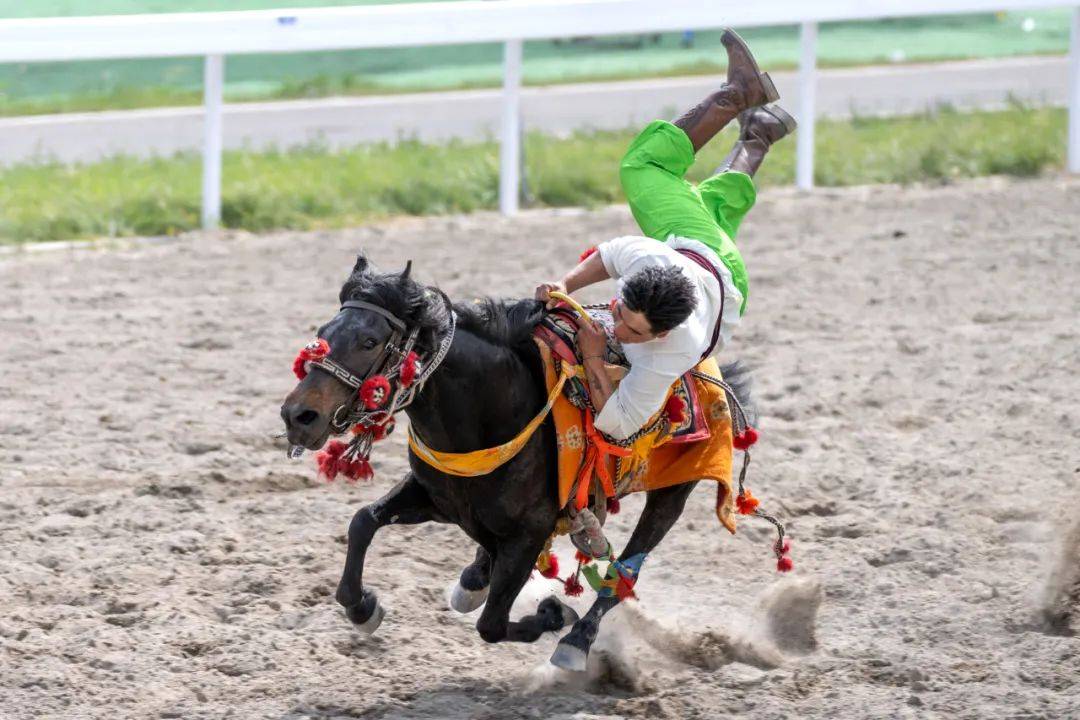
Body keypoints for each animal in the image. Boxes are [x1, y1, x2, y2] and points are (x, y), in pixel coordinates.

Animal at [278, 254, 751, 669]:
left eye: (370, 341)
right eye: (323, 330)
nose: (298, 415)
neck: (493, 413)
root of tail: (714, 376)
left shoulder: (531, 532)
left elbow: (492, 624)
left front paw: (554, 615)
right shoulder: (437, 497)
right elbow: (363, 521)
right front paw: (363, 608)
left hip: (671, 496)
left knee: (623, 574)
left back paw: (576, 642)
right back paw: (474, 579)